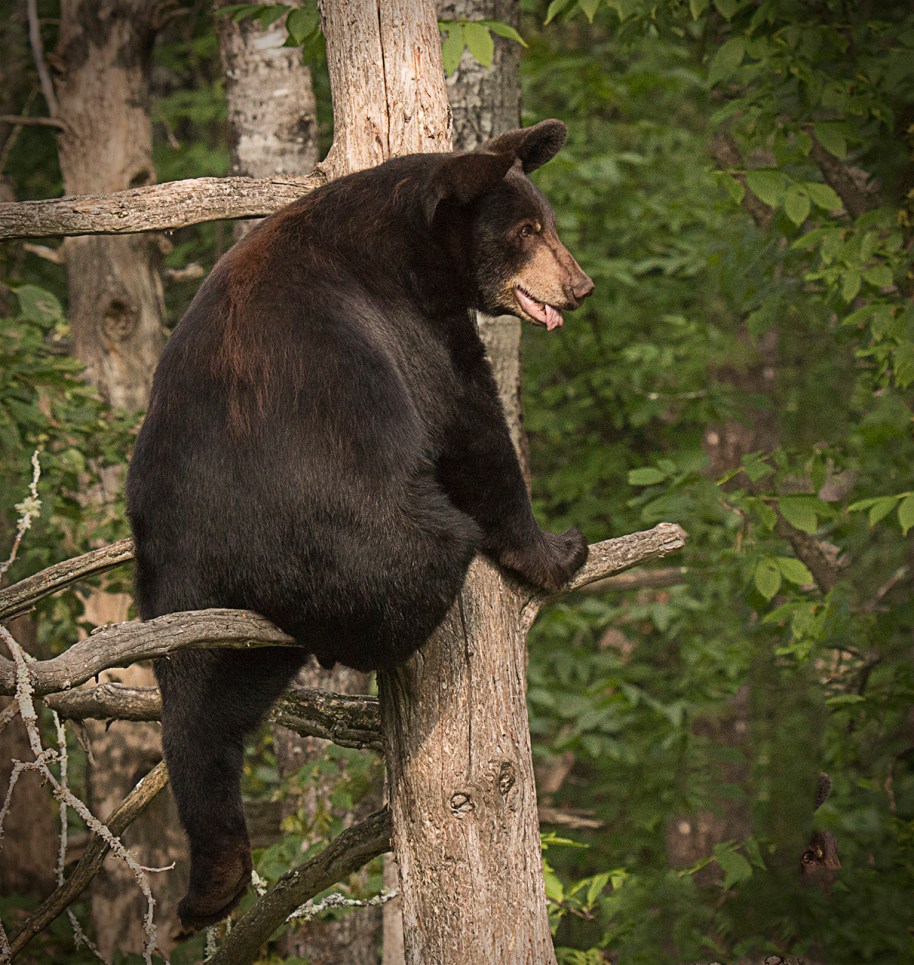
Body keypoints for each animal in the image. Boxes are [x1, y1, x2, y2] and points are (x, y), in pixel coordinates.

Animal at [126, 118, 594, 931]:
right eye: (529, 230)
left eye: (550, 223)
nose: (579, 285)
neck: (412, 245)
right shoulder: (416, 333)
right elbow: (472, 430)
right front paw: (556, 549)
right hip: (360, 536)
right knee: (425, 556)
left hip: (179, 588)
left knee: (199, 711)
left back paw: (214, 881)